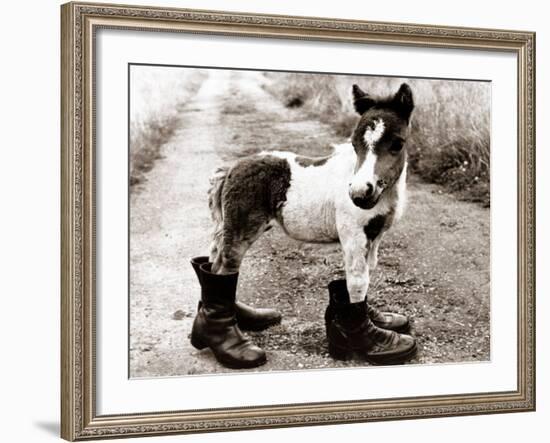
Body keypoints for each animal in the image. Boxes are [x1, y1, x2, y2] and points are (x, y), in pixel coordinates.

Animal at [207, 82, 414, 306]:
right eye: (354, 143)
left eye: (398, 144)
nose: (359, 193)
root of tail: (231, 168)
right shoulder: (353, 237)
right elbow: (358, 285)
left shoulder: (375, 238)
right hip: (238, 233)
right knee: (225, 268)